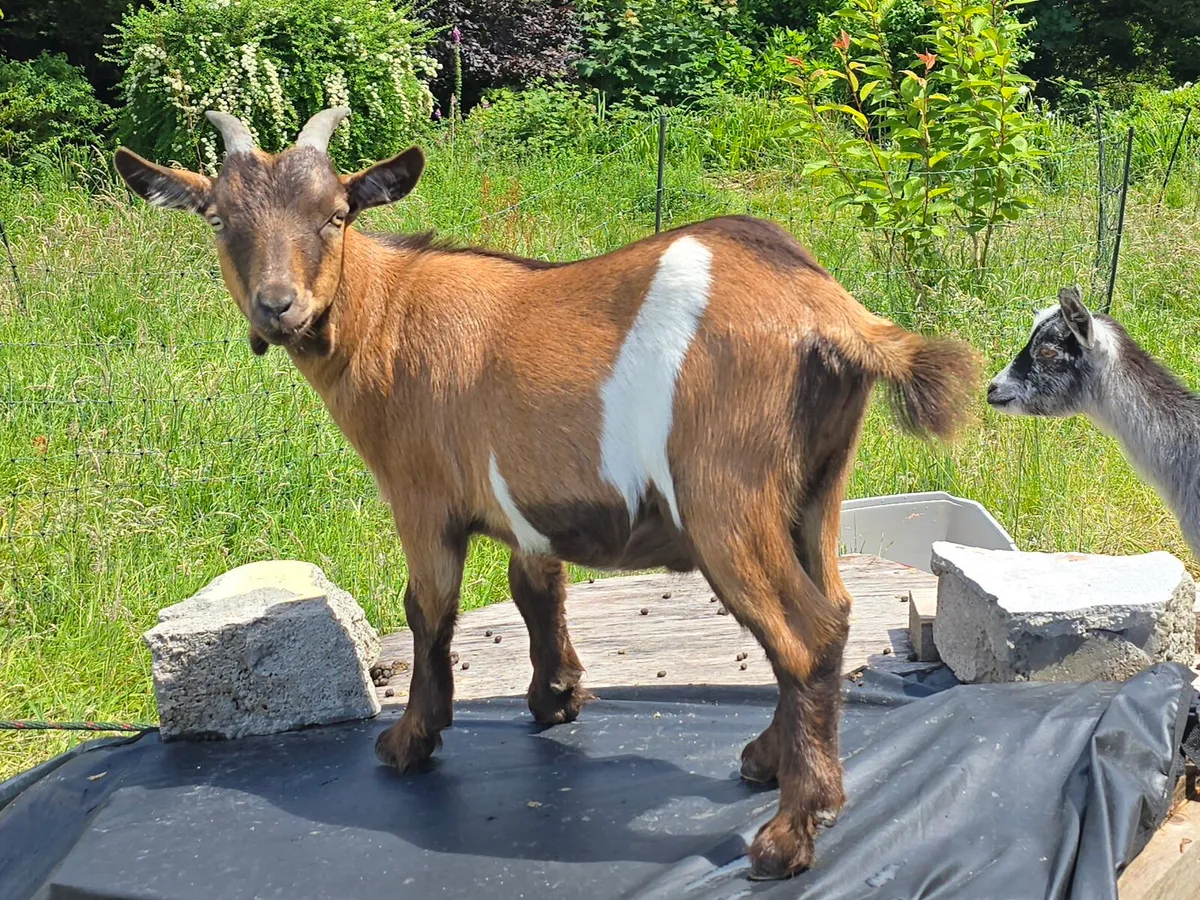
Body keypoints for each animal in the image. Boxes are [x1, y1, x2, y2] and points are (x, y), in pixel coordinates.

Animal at [113, 108, 980, 880]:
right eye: (219, 219)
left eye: (335, 214)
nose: (277, 306)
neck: (385, 319)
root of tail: (834, 314)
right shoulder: (528, 505)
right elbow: (536, 587)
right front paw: (556, 697)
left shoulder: (420, 497)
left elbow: (428, 610)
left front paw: (409, 741)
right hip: (816, 490)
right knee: (830, 611)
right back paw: (771, 762)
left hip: (726, 496)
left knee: (801, 632)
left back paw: (790, 831)